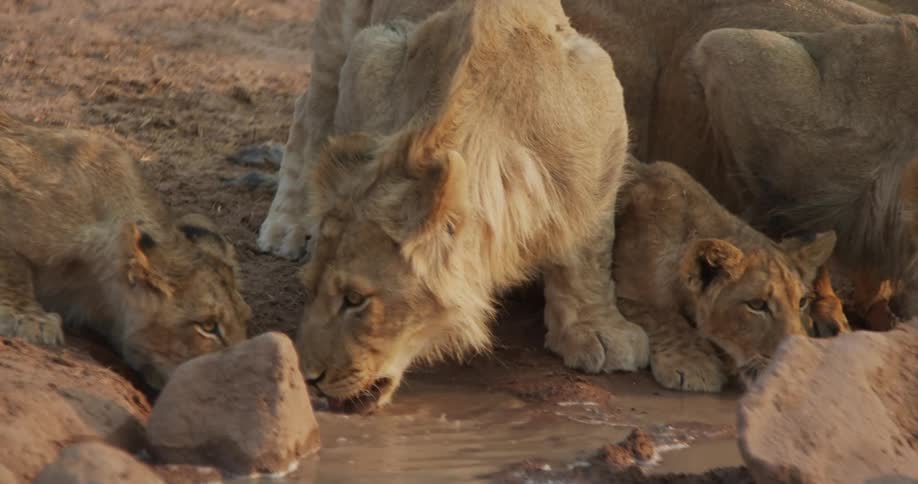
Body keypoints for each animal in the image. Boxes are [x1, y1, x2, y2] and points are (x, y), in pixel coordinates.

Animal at [293, 0, 648, 412]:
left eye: (355, 299)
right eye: (309, 289)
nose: (308, 379)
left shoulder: (600, 93)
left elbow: (590, 249)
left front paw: (598, 331)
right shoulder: (370, 56)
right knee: (311, 107)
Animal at [613, 160, 842, 392]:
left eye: (802, 302)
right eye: (757, 305)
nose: (796, 359)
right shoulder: (616, 288)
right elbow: (659, 316)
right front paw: (694, 364)